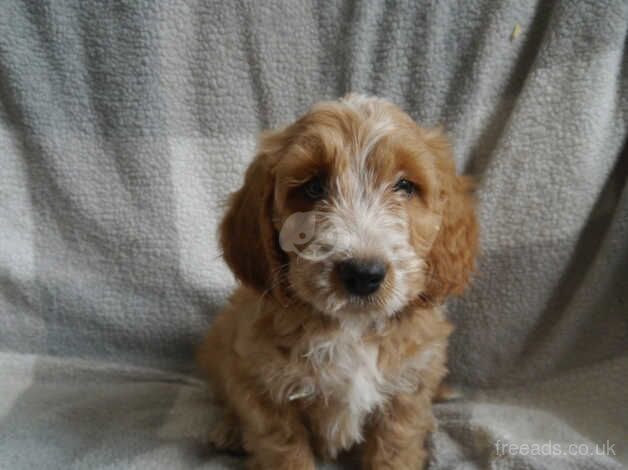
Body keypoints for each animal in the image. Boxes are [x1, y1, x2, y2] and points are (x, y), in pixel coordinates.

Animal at [199, 95, 478, 470]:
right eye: (314, 187)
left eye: (405, 186)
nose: (363, 274)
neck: (351, 327)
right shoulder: (263, 390)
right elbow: (283, 450)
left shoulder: (407, 391)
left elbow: (396, 447)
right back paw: (229, 429)